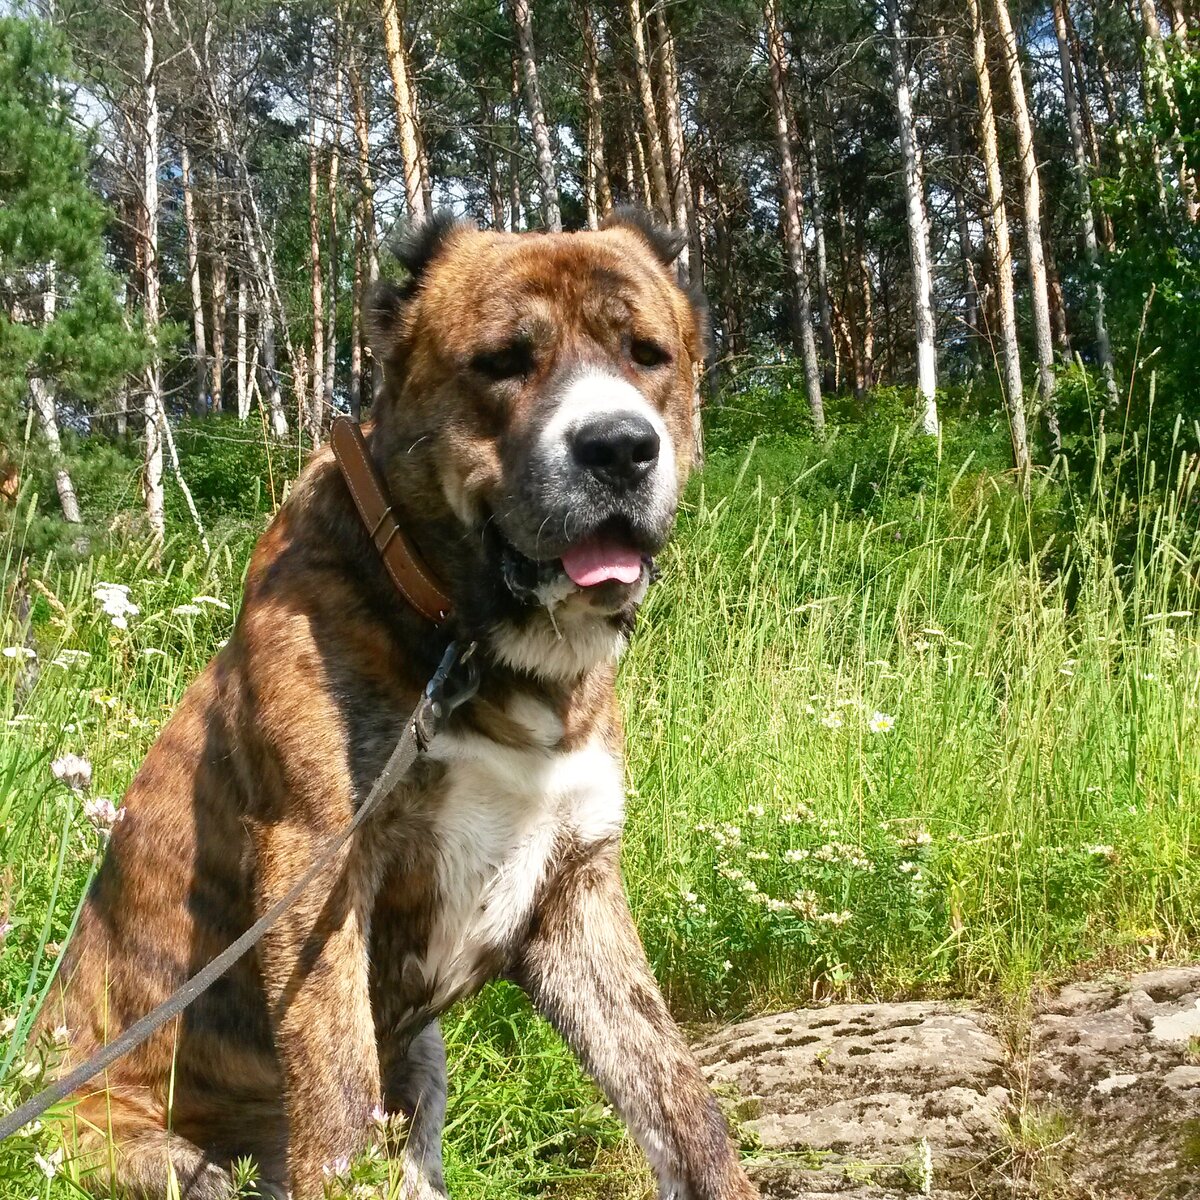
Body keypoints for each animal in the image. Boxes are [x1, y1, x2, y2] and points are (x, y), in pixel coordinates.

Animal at [41, 211, 757, 1200]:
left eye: (647, 353)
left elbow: (679, 1099)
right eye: (503, 361)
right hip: (161, 1157)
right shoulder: (320, 866)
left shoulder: (576, 890)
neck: (476, 646)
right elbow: (336, 1091)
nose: (619, 445)